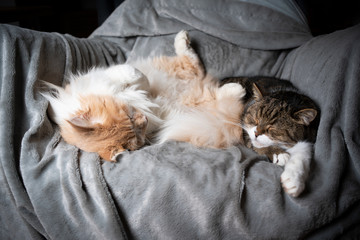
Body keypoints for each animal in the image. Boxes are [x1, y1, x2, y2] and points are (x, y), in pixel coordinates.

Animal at [41, 30, 245, 161]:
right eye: (136, 134)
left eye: (129, 116)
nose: (144, 119)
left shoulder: (112, 76)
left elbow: (135, 77)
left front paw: (139, 89)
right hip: (191, 102)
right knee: (207, 84)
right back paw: (238, 89)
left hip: (172, 69)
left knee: (192, 61)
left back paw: (182, 37)